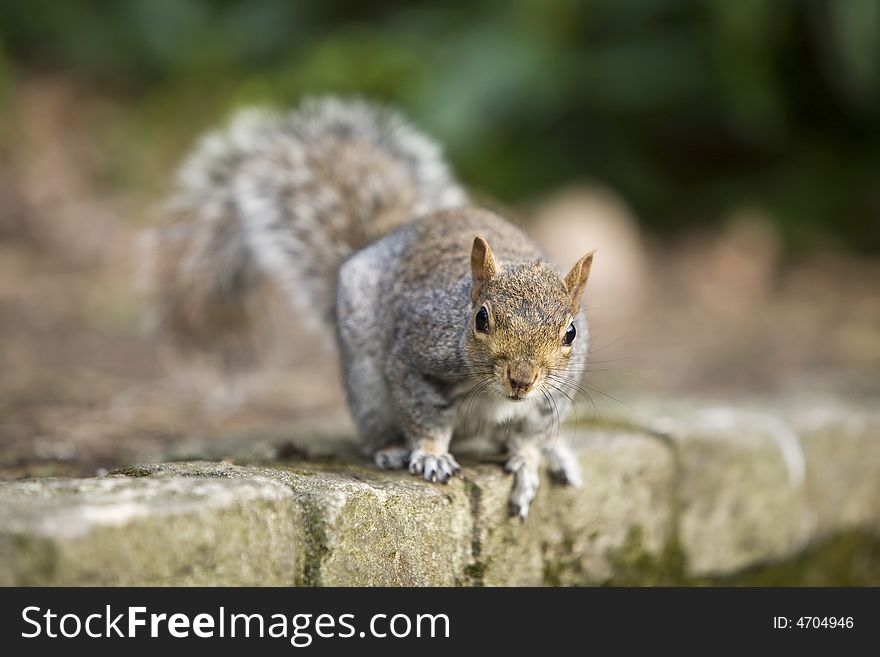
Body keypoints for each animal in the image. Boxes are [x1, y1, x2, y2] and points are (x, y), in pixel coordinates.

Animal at [151, 97, 596, 516]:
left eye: (571, 332)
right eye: (481, 320)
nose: (522, 379)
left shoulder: (552, 396)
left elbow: (528, 437)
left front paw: (528, 464)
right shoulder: (417, 358)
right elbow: (424, 417)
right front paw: (431, 456)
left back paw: (557, 455)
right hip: (366, 384)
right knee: (376, 425)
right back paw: (389, 449)